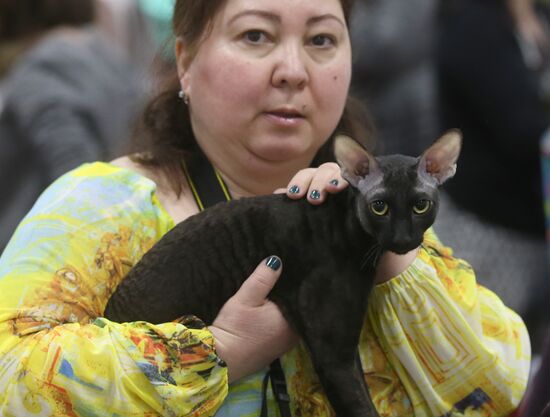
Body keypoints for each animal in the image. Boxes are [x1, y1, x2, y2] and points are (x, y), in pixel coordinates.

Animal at [102, 130, 462, 416]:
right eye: (380, 207)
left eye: (420, 205)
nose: (403, 240)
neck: (350, 236)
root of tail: (109, 311)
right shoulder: (334, 353)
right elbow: (360, 406)